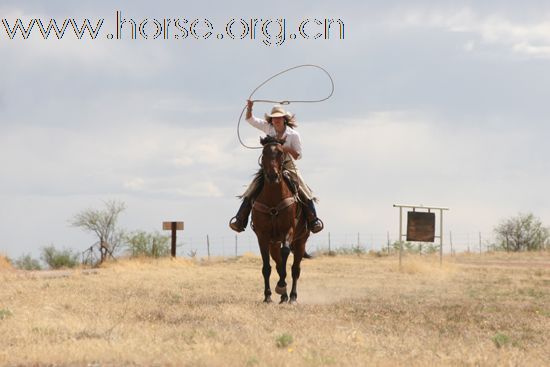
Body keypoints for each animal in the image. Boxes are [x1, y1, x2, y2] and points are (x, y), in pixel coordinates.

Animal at [253, 137, 312, 304]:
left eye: (280, 152)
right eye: (264, 152)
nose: (273, 175)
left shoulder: (288, 231)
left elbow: (285, 254)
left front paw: (280, 286)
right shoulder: (262, 236)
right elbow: (267, 267)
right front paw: (268, 296)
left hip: (300, 242)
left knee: (295, 269)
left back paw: (292, 296)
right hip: (274, 243)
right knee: (279, 264)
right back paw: (284, 296)